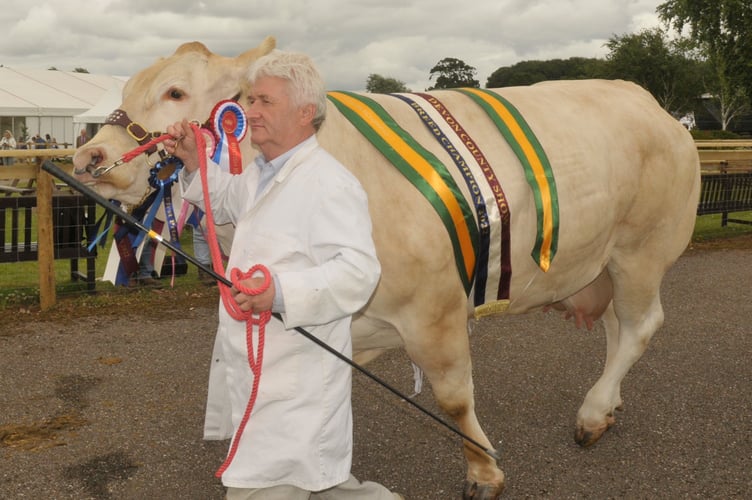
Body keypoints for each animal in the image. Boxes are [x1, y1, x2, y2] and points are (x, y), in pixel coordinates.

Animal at [70, 37, 700, 498]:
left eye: (175, 91)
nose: (88, 157)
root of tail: (649, 102)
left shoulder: (435, 312)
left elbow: (453, 398)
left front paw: (484, 471)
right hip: (602, 263)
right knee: (619, 327)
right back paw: (608, 404)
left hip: (642, 249)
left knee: (641, 325)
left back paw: (592, 415)